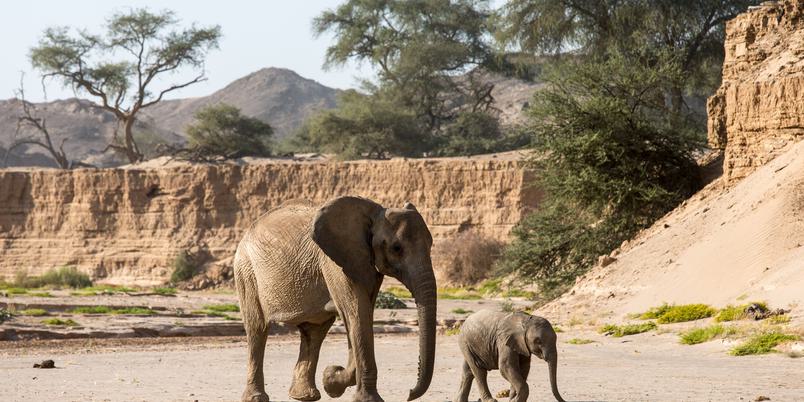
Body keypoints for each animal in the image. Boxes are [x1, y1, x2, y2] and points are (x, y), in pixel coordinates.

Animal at [233, 196, 437, 402]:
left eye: (431, 244)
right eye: (397, 248)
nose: (409, 394)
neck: (372, 213)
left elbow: (362, 316)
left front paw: (331, 380)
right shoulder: (334, 263)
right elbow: (357, 314)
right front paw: (343, 385)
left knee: (314, 331)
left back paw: (305, 396)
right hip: (246, 271)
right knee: (257, 328)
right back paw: (257, 398)